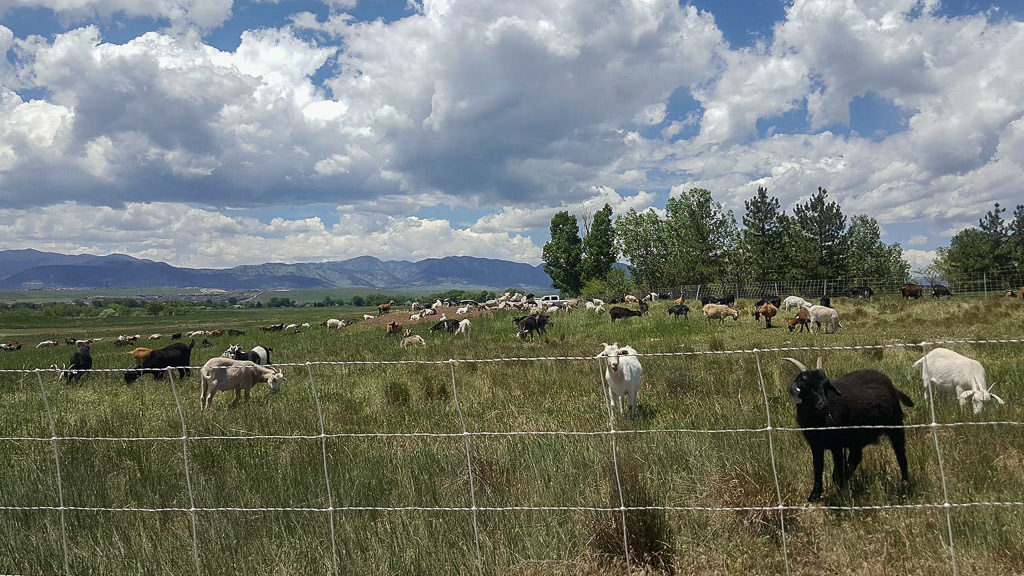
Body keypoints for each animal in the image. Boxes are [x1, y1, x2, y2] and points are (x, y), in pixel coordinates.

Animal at [778, 356, 917, 500]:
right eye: (804, 386)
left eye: (825, 385)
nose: (824, 405)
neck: (819, 421)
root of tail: (891, 385)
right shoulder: (815, 445)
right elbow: (818, 467)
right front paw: (814, 495)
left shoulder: (837, 444)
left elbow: (838, 466)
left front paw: (840, 492)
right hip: (857, 437)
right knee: (856, 457)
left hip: (895, 424)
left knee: (900, 453)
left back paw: (904, 484)